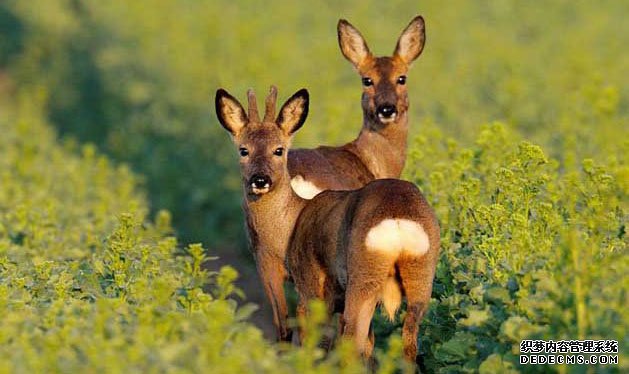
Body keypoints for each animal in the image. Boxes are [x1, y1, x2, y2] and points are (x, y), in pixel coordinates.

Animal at [215, 85, 436, 362]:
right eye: (243, 150)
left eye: (279, 149)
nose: (260, 180)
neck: (294, 218)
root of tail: (398, 222)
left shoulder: (310, 284)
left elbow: (310, 338)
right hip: (421, 279)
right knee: (407, 345)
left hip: (362, 279)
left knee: (351, 341)